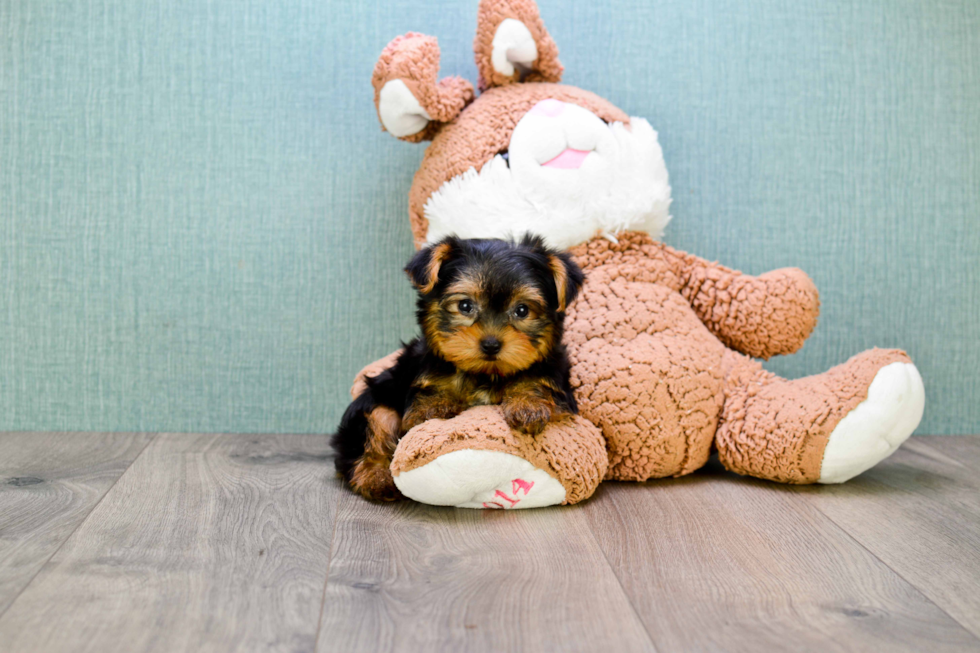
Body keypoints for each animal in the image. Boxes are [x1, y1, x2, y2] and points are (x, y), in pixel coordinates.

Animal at [334, 234, 584, 500]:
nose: (491, 344)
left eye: (522, 310)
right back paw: (377, 479)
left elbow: (539, 386)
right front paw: (435, 406)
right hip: (376, 402)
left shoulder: (558, 386)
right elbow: (423, 406)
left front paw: (528, 404)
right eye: (465, 306)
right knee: (374, 429)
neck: (486, 374)